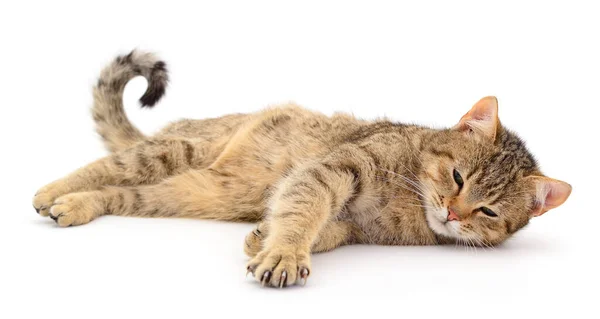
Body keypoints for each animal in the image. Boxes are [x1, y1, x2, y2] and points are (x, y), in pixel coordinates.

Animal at [31, 50, 572, 288]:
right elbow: (304, 210)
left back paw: (73, 206)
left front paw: (264, 238)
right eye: (458, 177)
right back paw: (53, 190)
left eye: (489, 212)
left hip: (185, 192)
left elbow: (319, 227)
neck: (411, 204)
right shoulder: (336, 168)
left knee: (121, 194)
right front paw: (285, 251)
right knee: (107, 164)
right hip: (174, 151)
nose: (454, 214)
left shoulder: (354, 228)